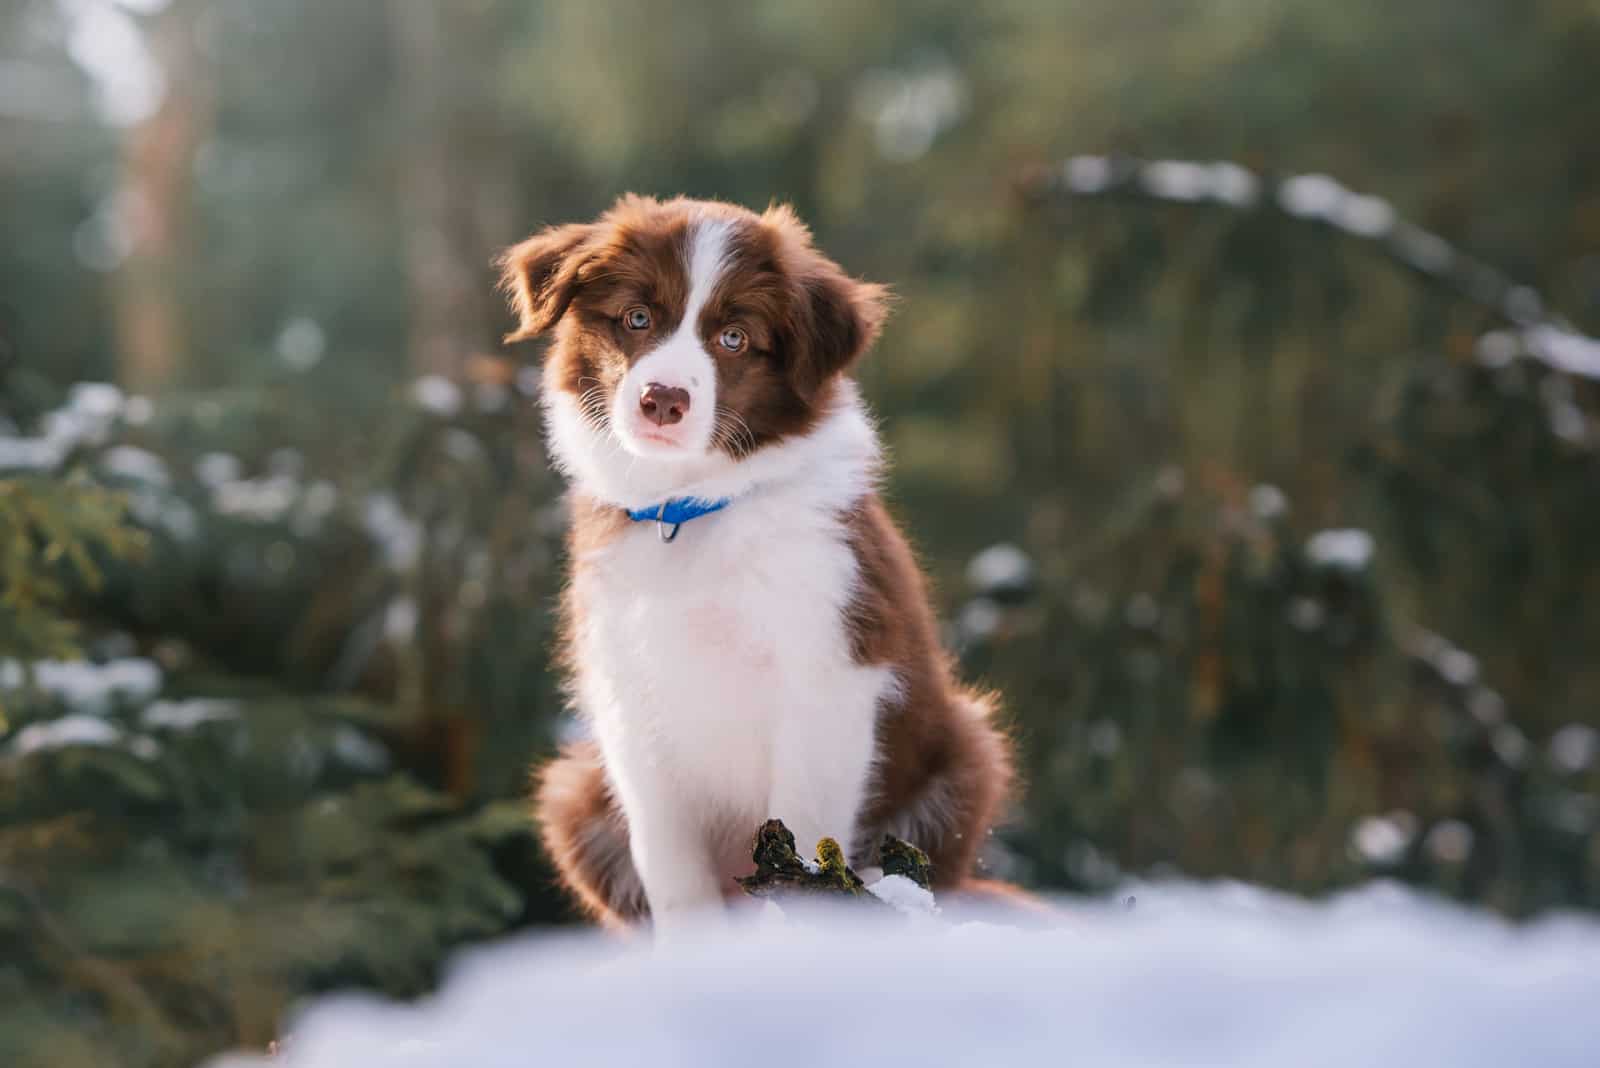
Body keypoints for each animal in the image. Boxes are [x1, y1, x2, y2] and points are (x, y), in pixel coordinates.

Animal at [502, 195, 1011, 940]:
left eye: (736, 338)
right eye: (637, 319)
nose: (663, 400)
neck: (692, 509)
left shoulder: (829, 673)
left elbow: (803, 840)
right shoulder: (630, 695)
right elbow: (673, 871)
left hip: (968, 752)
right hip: (573, 793)